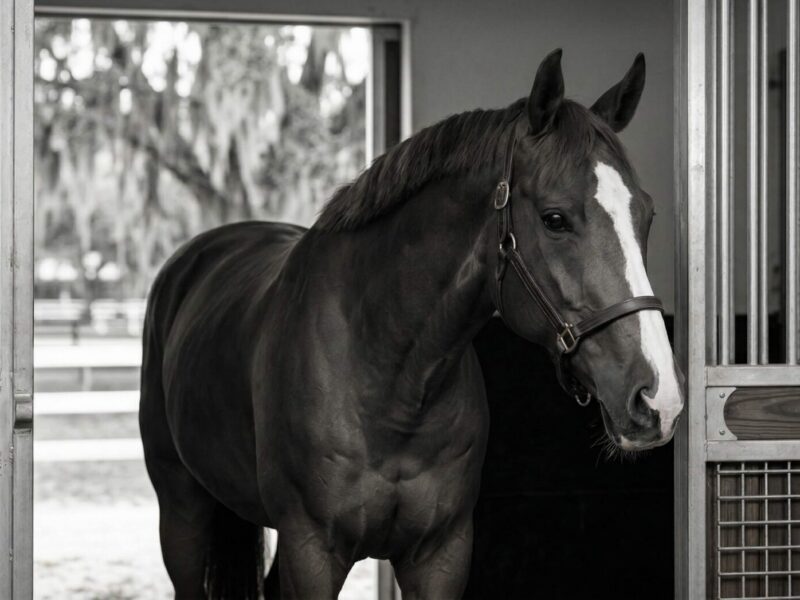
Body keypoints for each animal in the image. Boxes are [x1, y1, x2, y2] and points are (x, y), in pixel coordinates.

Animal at [139, 48, 684, 599]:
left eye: (648, 216)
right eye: (555, 219)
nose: (657, 399)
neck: (389, 377)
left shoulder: (440, 555)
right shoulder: (310, 551)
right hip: (181, 509)